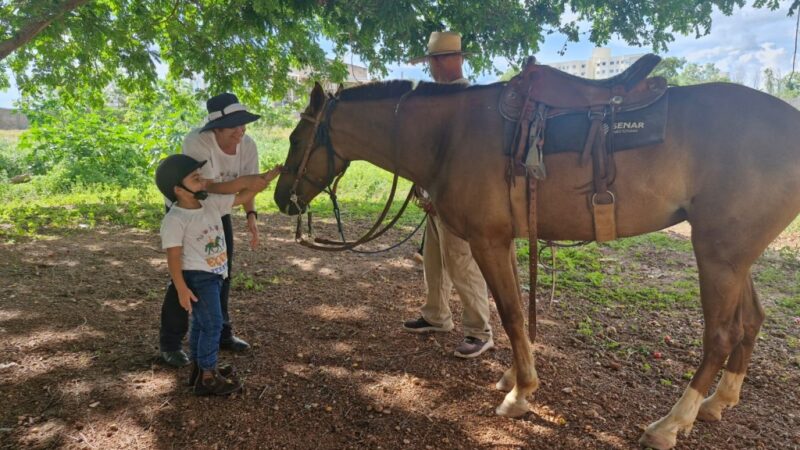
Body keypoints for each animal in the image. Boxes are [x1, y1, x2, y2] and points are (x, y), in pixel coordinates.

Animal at [274, 79, 800, 448]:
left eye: (298, 137)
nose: (281, 199)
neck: (449, 135)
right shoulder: (504, 241)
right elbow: (513, 317)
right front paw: (514, 376)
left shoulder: (487, 242)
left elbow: (508, 314)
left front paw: (521, 393)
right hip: (735, 256)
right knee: (752, 320)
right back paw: (718, 403)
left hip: (718, 254)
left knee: (721, 335)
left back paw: (670, 424)